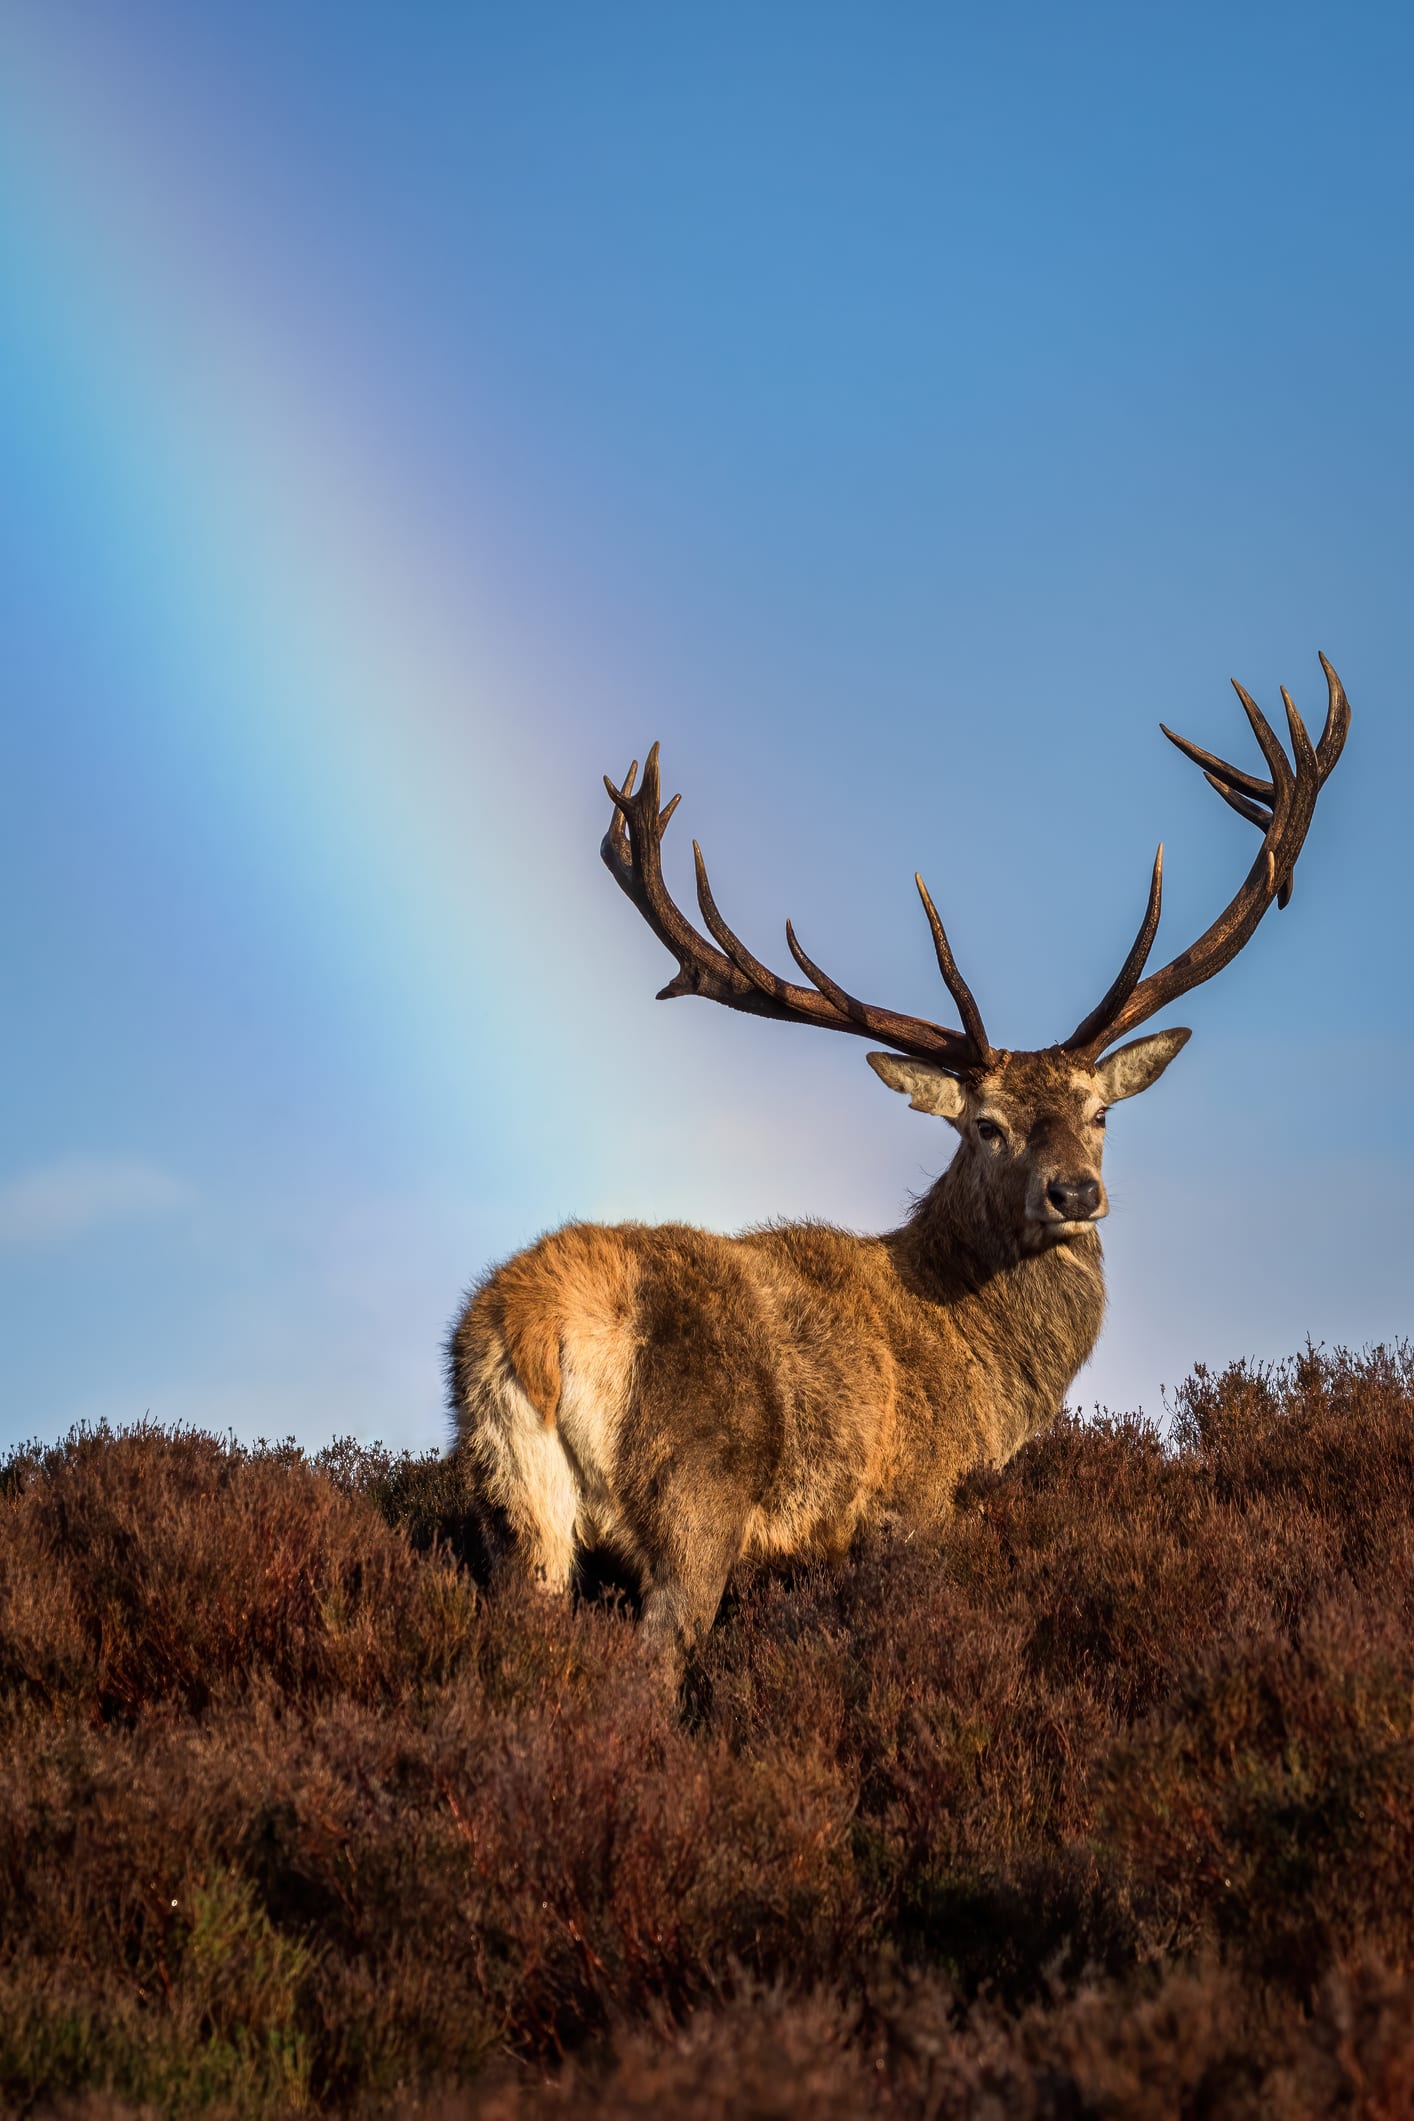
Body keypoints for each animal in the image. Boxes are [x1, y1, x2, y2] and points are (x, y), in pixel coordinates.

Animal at [449, 655, 1350, 1660]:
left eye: (1101, 1112)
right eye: (986, 1125)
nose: (1075, 1192)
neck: (989, 1376)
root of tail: (527, 1325)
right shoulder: (916, 1498)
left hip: (514, 1511)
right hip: (694, 1492)